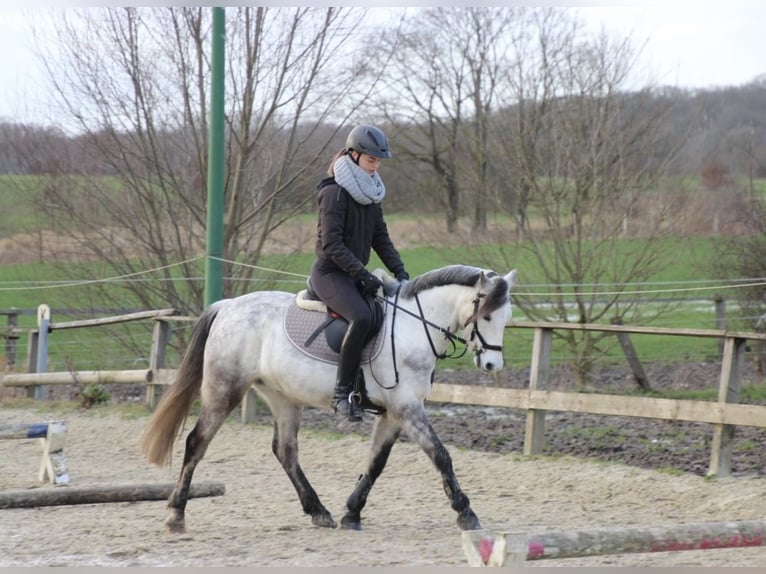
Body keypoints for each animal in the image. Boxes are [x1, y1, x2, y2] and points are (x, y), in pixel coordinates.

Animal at [140, 264, 518, 533]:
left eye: (507, 317)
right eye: (486, 314)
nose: (492, 365)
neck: (413, 329)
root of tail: (228, 306)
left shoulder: (394, 413)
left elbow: (376, 462)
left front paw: (352, 512)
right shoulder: (407, 409)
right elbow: (441, 455)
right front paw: (465, 511)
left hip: (282, 397)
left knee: (285, 451)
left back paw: (319, 511)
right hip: (225, 389)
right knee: (196, 442)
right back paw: (175, 514)